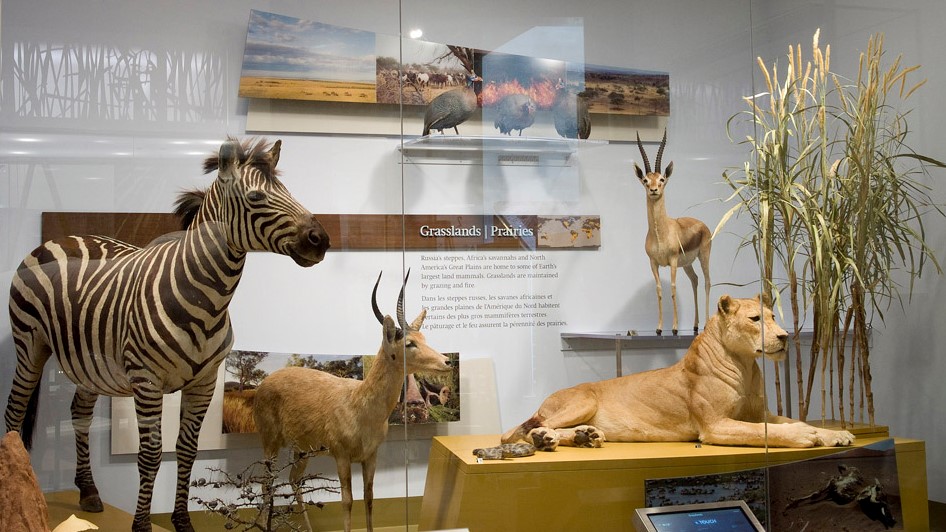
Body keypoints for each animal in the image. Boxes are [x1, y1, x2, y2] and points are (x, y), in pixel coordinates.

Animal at [3, 138, 330, 532]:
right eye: (256, 197)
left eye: (288, 192)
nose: (321, 239)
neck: (207, 297)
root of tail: (60, 238)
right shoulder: (147, 381)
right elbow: (151, 454)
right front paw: (142, 524)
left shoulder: (204, 382)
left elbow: (186, 451)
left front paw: (182, 521)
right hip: (30, 344)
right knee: (14, 412)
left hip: (89, 363)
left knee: (79, 413)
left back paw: (89, 492)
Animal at [253, 272, 452, 528]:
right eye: (409, 343)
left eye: (424, 337)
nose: (447, 361)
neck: (360, 405)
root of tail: (265, 383)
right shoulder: (341, 456)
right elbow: (347, 501)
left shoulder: (371, 457)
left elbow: (369, 498)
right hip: (270, 442)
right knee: (265, 484)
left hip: (302, 450)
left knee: (294, 479)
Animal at [502, 294, 856, 450]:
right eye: (756, 319)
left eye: (772, 316)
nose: (784, 337)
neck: (746, 366)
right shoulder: (714, 427)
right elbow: (765, 433)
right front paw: (804, 437)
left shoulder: (760, 414)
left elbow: (792, 420)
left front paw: (835, 433)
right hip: (583, 400)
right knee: (526, 429)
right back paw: (548, 438)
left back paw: (586, 436)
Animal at [636, 130, 708, 334]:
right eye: (645, 180)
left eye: (662, 179)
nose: (653, 190)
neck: (661, 233)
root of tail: (701, 223)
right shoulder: (653, 263)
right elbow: (659, 290)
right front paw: (659, 328)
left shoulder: (673, 261)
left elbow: (674, 289)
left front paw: (675, 328)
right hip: (688, 264)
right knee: (695, 280)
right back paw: (695, 325)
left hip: (703, 256)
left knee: (707, 282)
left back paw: (706, 323)